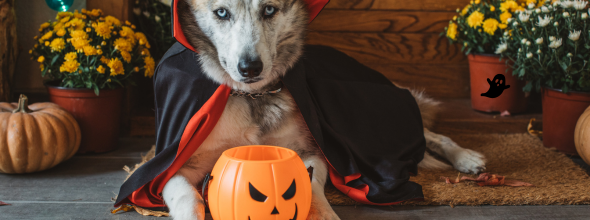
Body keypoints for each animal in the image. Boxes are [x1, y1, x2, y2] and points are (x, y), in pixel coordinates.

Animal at [162, 0, 486, 219]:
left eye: (269, 10)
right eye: (221, 12)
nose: (250, 68)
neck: (254, 97)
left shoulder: (312, 151)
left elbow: (309, 187)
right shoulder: (175, 167)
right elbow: (187, 198)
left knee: (430, 134)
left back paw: (466, 158)